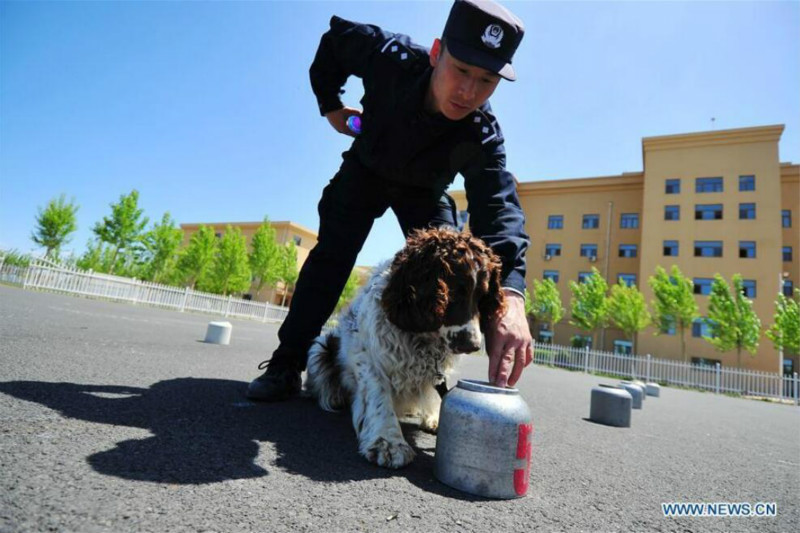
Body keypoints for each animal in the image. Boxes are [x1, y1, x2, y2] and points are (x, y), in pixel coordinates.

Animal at [306, 227, 506, 468]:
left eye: (482, 296)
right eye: (455, 291)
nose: (473, 345)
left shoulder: (436, 368)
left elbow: (433, 389)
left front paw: (434, 417)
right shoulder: (368, 358)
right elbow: (379, 397)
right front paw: (388, 442)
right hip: (320, 347)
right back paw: (334, 396)